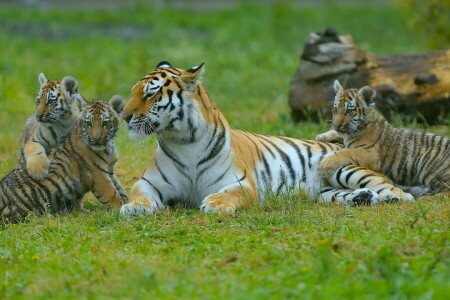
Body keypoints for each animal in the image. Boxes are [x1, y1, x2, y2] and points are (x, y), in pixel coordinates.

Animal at [118, 62, 412, 216]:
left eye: (151, 94)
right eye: (133, 92)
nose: (124, 116)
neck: (184, 140)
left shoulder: (242, 183)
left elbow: (229, 193)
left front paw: (215, 204)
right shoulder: (151, 182)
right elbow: (139, 194)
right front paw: (133, 208)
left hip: (345, 169)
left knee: (395, 189)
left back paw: (392, 197)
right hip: (327, 192)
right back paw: (363, 198)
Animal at [314, 79, 448, 197]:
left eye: (349, 111)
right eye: (335, 109)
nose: (336, 125)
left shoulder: (370, 154)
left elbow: (347, 152)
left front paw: (324, 165)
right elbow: (338, 135)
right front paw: (321, 136)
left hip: (426, 166)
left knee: (446, 191)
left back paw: (425, 197)